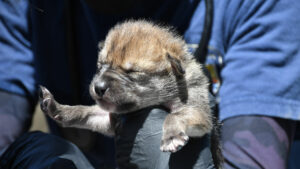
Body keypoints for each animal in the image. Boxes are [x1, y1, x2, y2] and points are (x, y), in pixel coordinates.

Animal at [39, 19, 223, 168]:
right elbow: (85, 111)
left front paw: (171, 137)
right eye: (100, 66)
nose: (98, 87)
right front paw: (58, 108)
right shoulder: (110, 119)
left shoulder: (198, 109)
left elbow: (175, 115)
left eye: (132, 72)